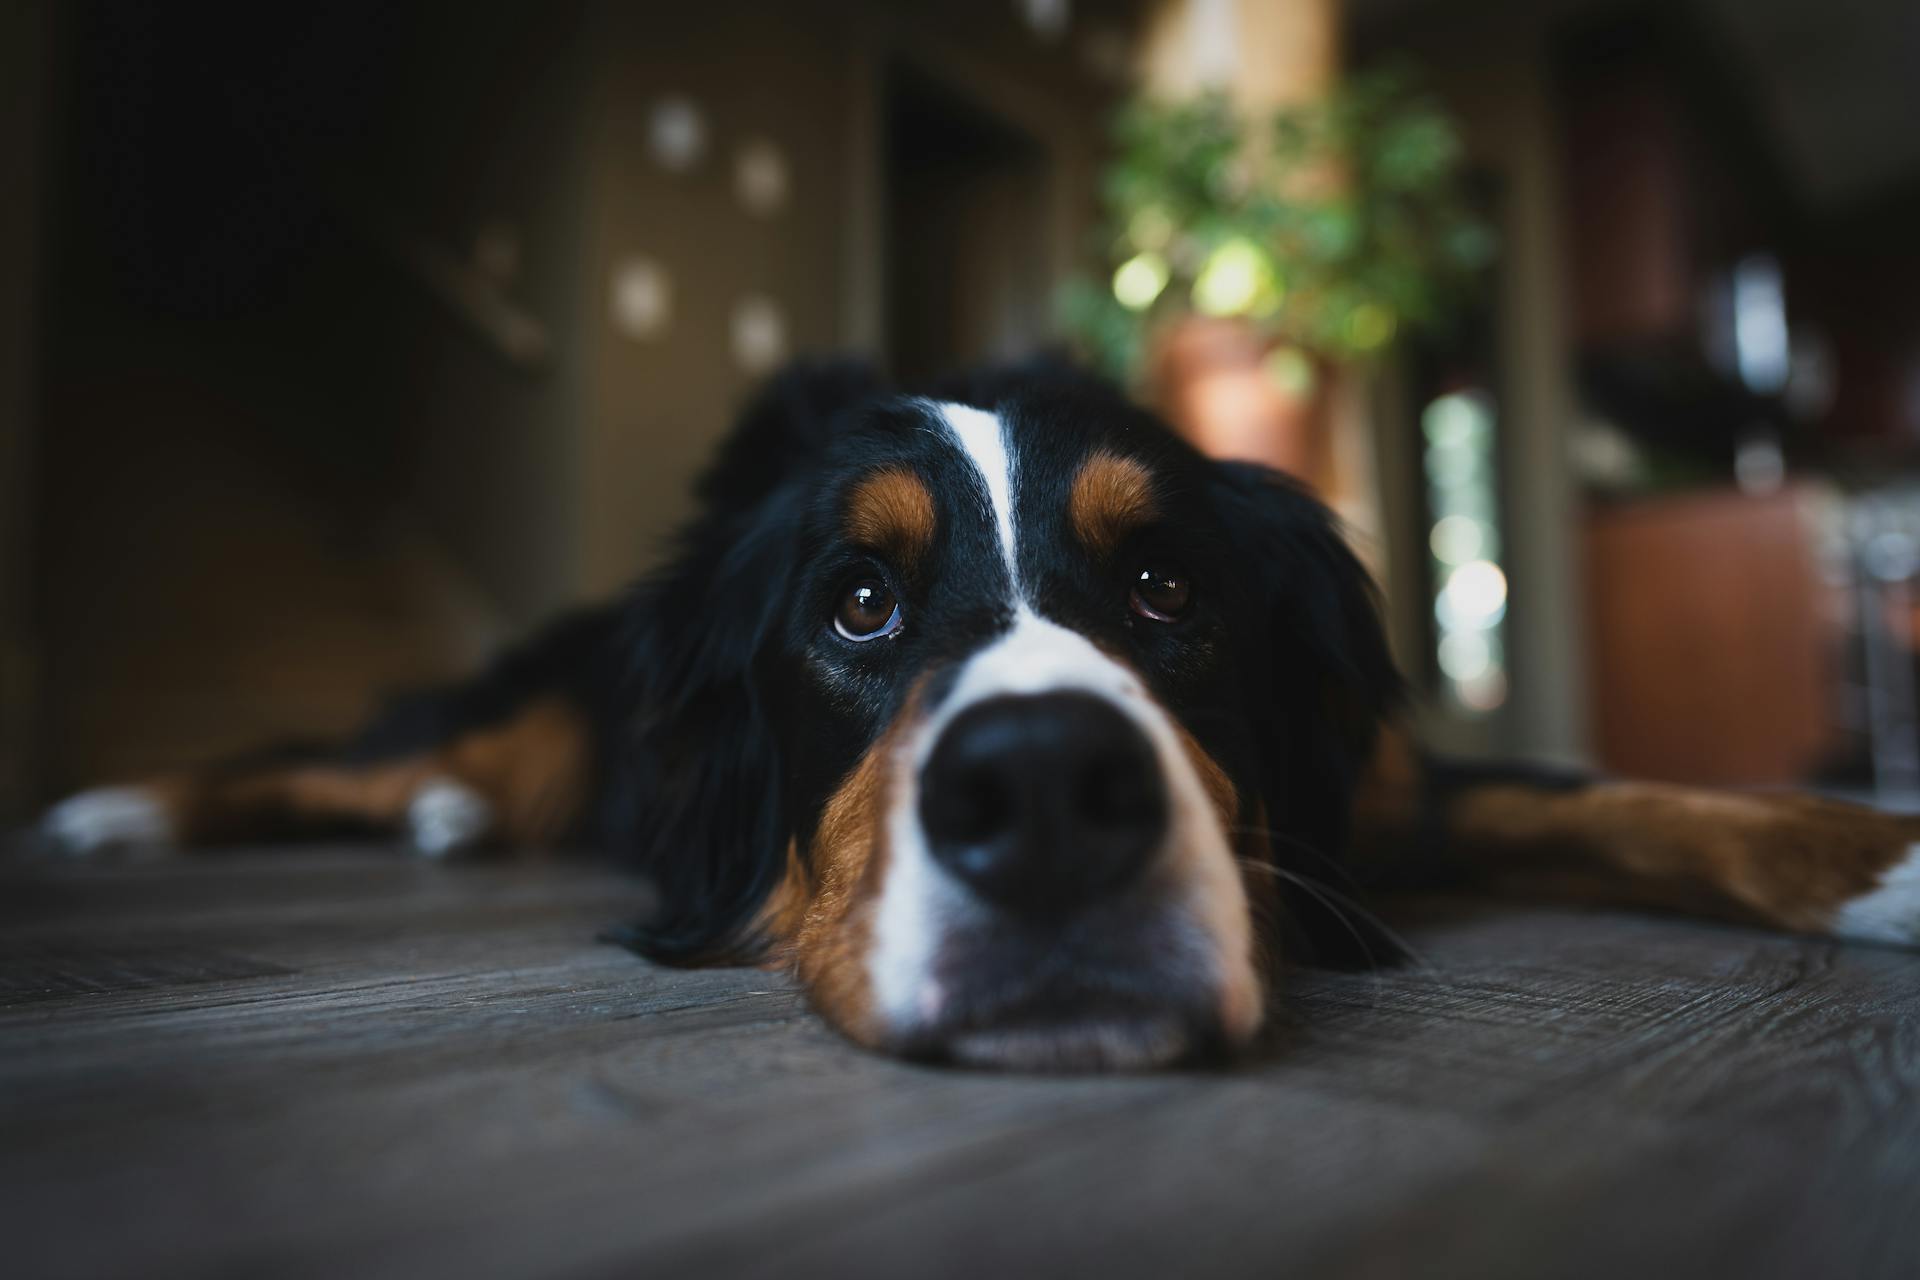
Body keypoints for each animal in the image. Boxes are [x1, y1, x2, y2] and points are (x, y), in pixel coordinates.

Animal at [41, 360, 1920, 1074]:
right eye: (857, 605)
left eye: (1165, 589)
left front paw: (1885, 860)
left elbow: (1636, 798)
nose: (1048, 796)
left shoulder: (1393, 787)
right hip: (532, 722)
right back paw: (119, 813)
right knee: (357, 760)